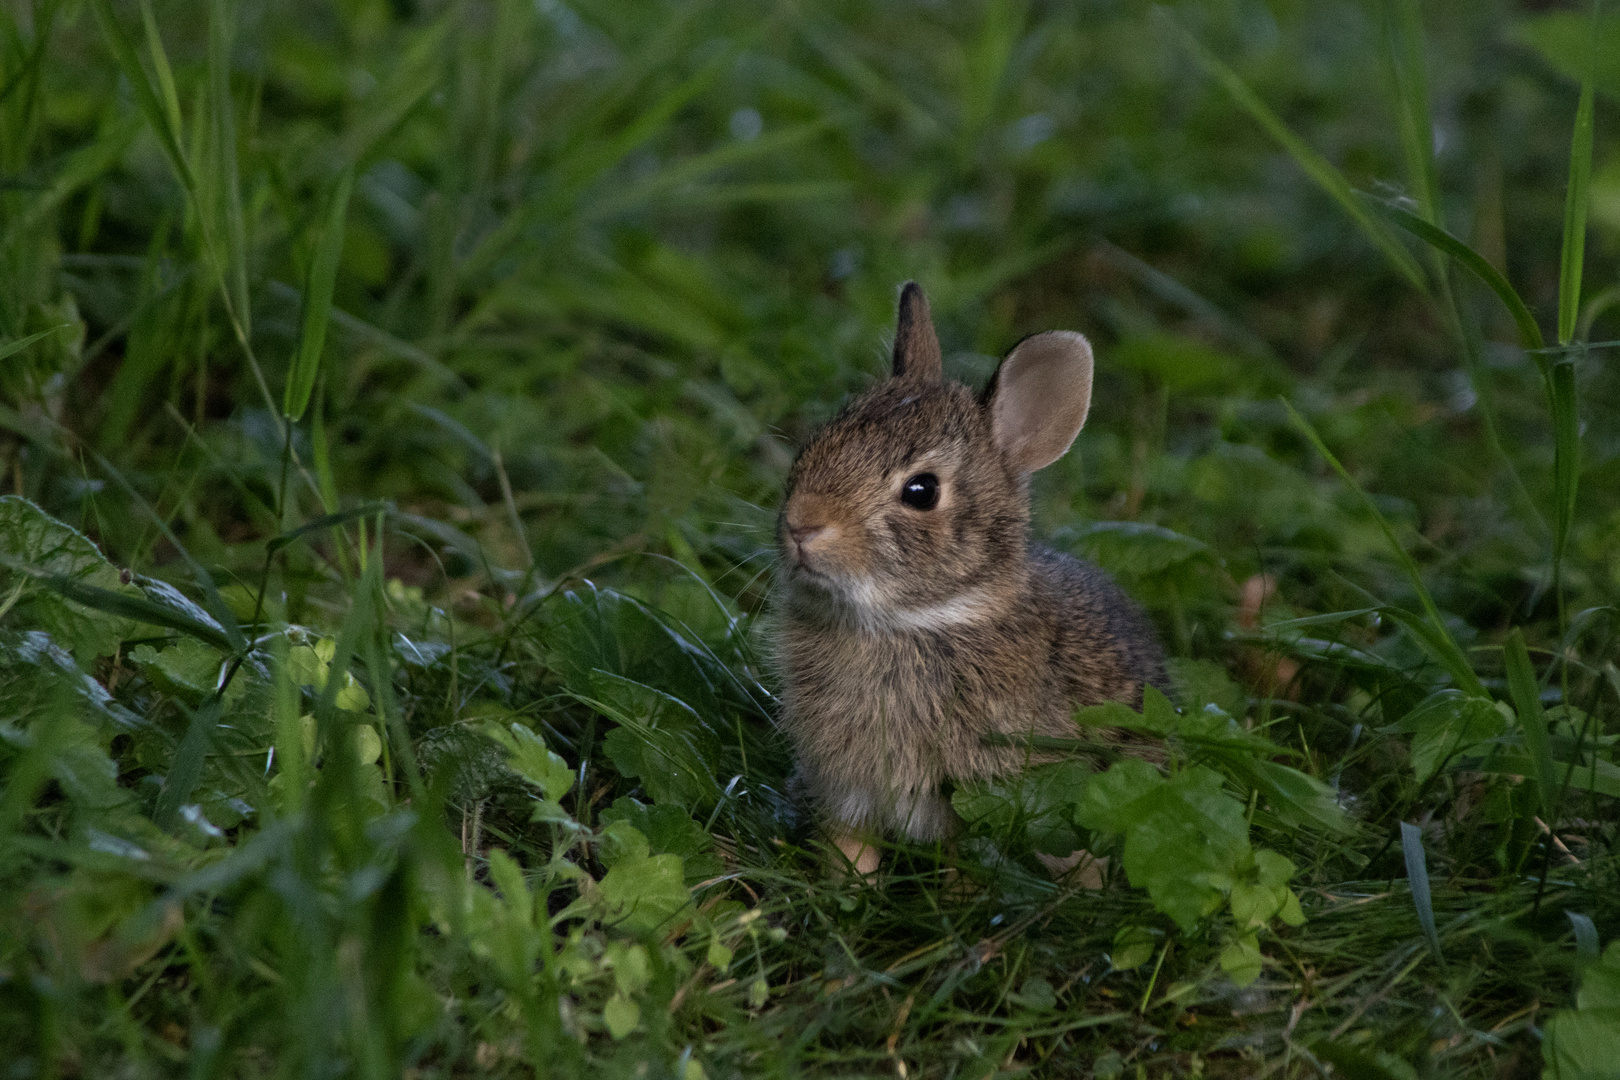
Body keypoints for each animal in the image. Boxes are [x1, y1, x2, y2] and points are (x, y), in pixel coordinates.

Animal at [774, 283, 1166, 874]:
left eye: (921, 491)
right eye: (814, 444)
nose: (802, 524)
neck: (915, 620)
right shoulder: (848, 793)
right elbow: (850, 852)